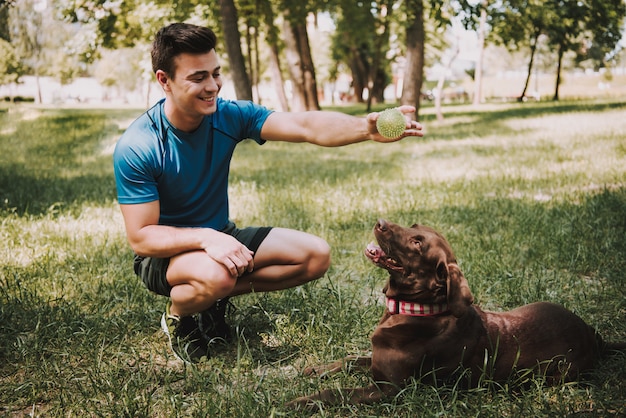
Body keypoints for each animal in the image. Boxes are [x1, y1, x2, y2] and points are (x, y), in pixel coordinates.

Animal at [288, 219, 624, 408]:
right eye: (414, 227)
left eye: (417, 242)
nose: (380, 221)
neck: (417, 310)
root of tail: (594, 335)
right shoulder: (376, 363)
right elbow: (348, 360)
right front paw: (314, 369)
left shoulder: (391, 389)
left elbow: (338, 393)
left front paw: (301, 401)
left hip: (558, 374)